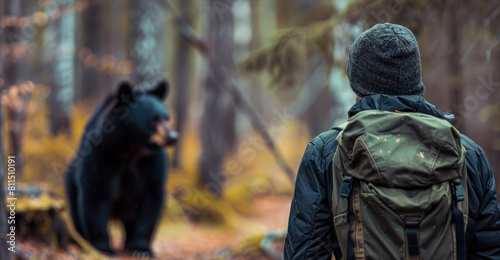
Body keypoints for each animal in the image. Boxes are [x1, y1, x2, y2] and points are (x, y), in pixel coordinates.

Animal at [65, 79, 177, 258]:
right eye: (153, 119)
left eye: (167, 117)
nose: (173, 137)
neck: (130, 150)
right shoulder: (103, 155)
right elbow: (96, 194)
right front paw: (104, 248)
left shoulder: (150, 162)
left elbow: (150, 197)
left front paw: (140, 249)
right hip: (70, 182)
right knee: (76, 216)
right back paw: (82, 243)